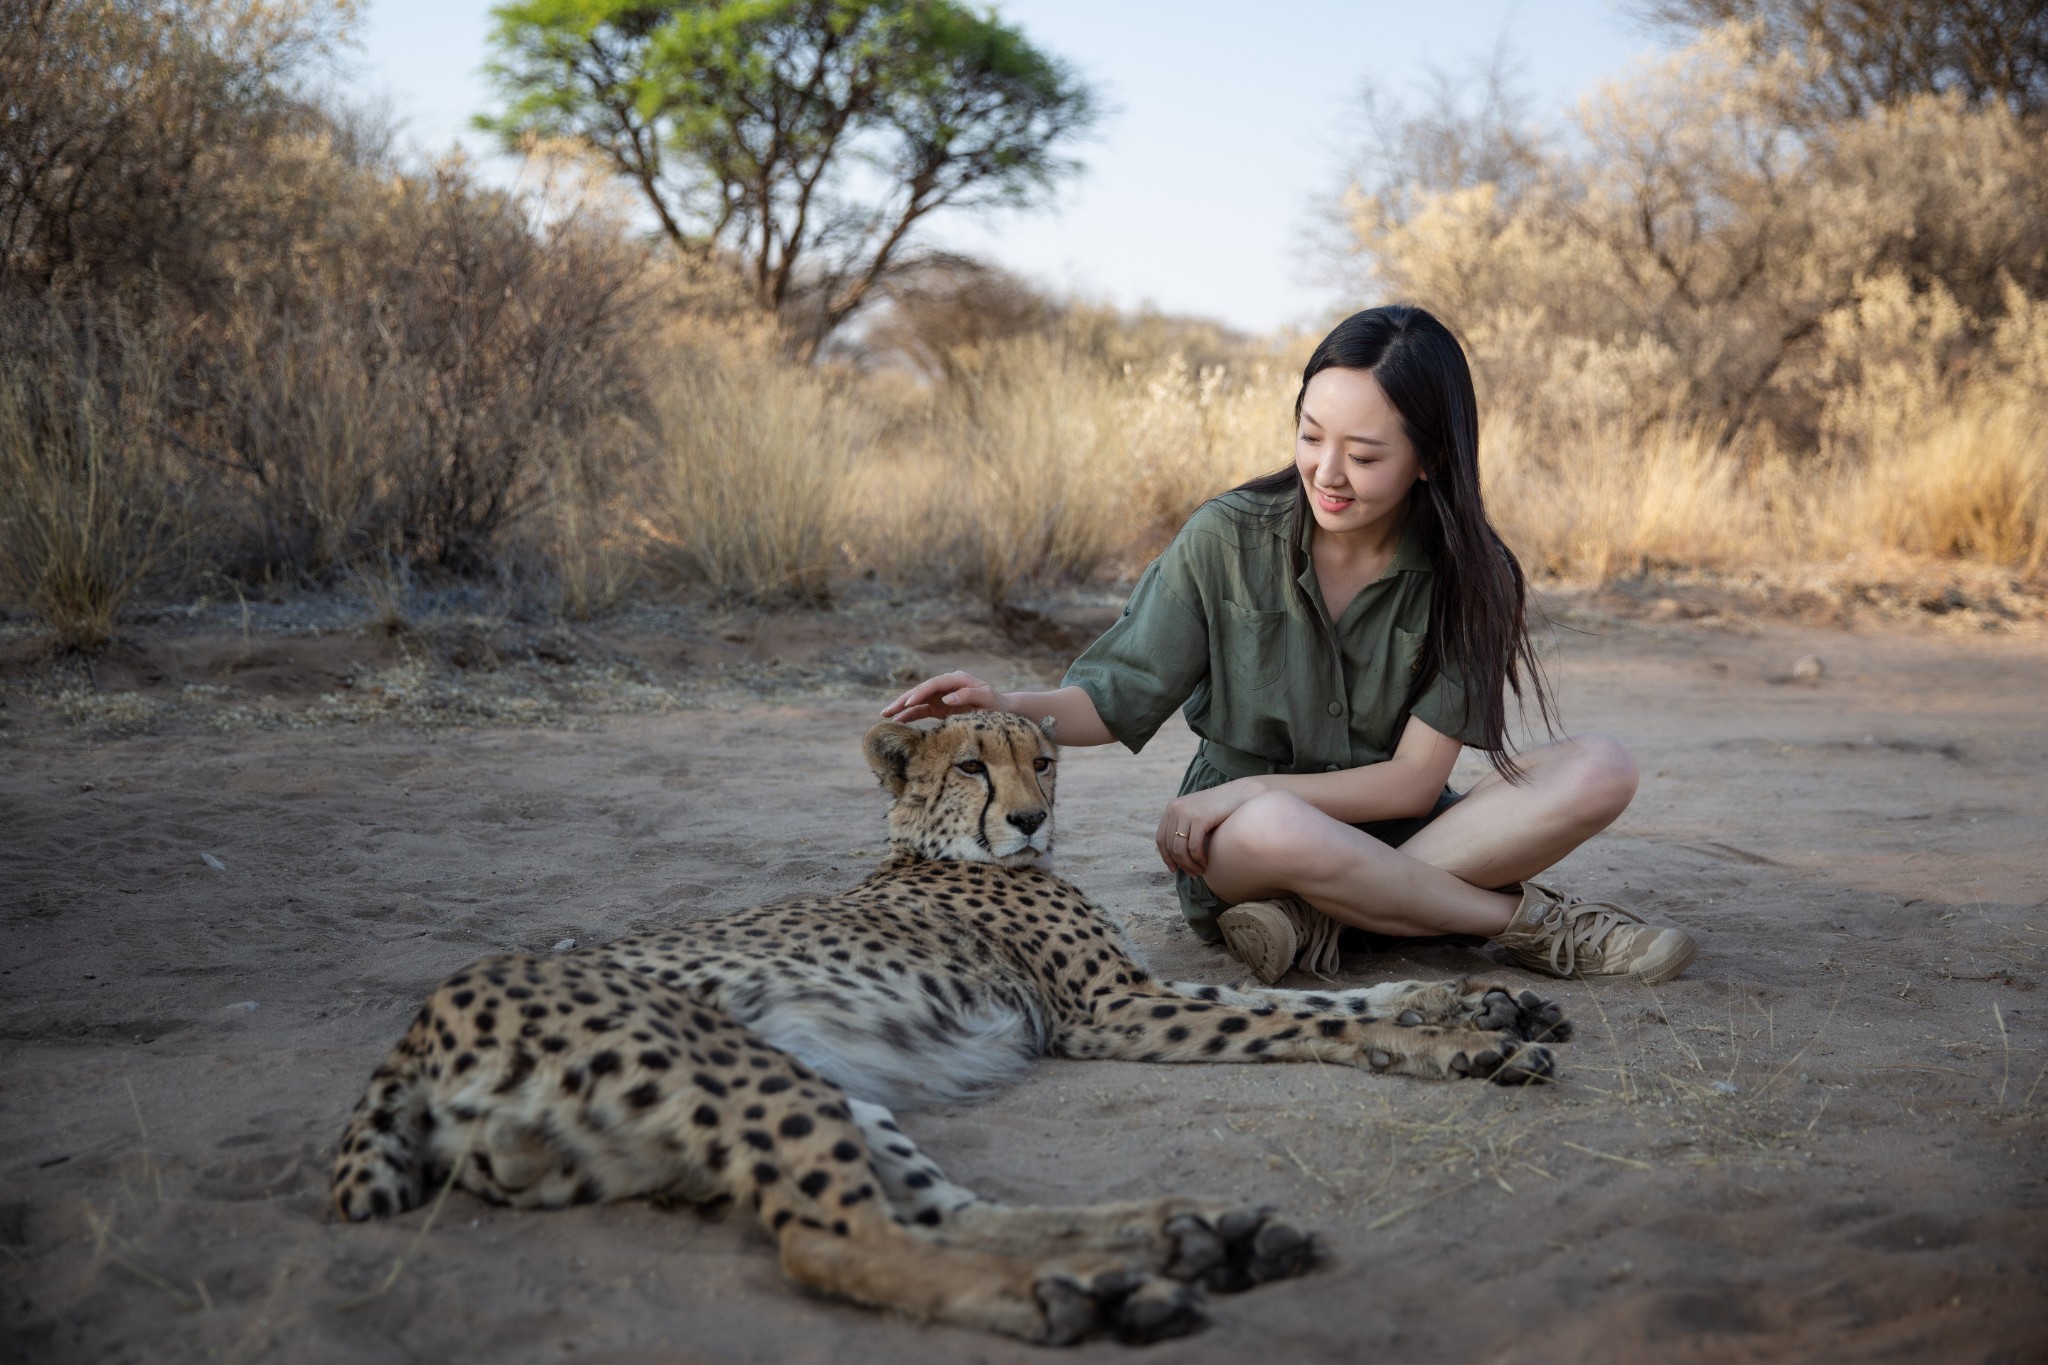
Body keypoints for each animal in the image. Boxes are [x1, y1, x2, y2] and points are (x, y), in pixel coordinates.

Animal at [335, 716, 1564, 1342]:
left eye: (1045, 758)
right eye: (972, 763)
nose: (1028, 816)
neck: (942, 848)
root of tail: (419, 1027)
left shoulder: (1121, 994)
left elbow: (1312, 1000)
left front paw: (1472, 1005)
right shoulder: (1105, 1010)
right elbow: (1282, 1017)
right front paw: (1457, 1039)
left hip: (823, 1090)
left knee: (946, 1213)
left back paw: (1174, 1241)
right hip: (743, 1070)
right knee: (840, 1241)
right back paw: (1086, 1291)